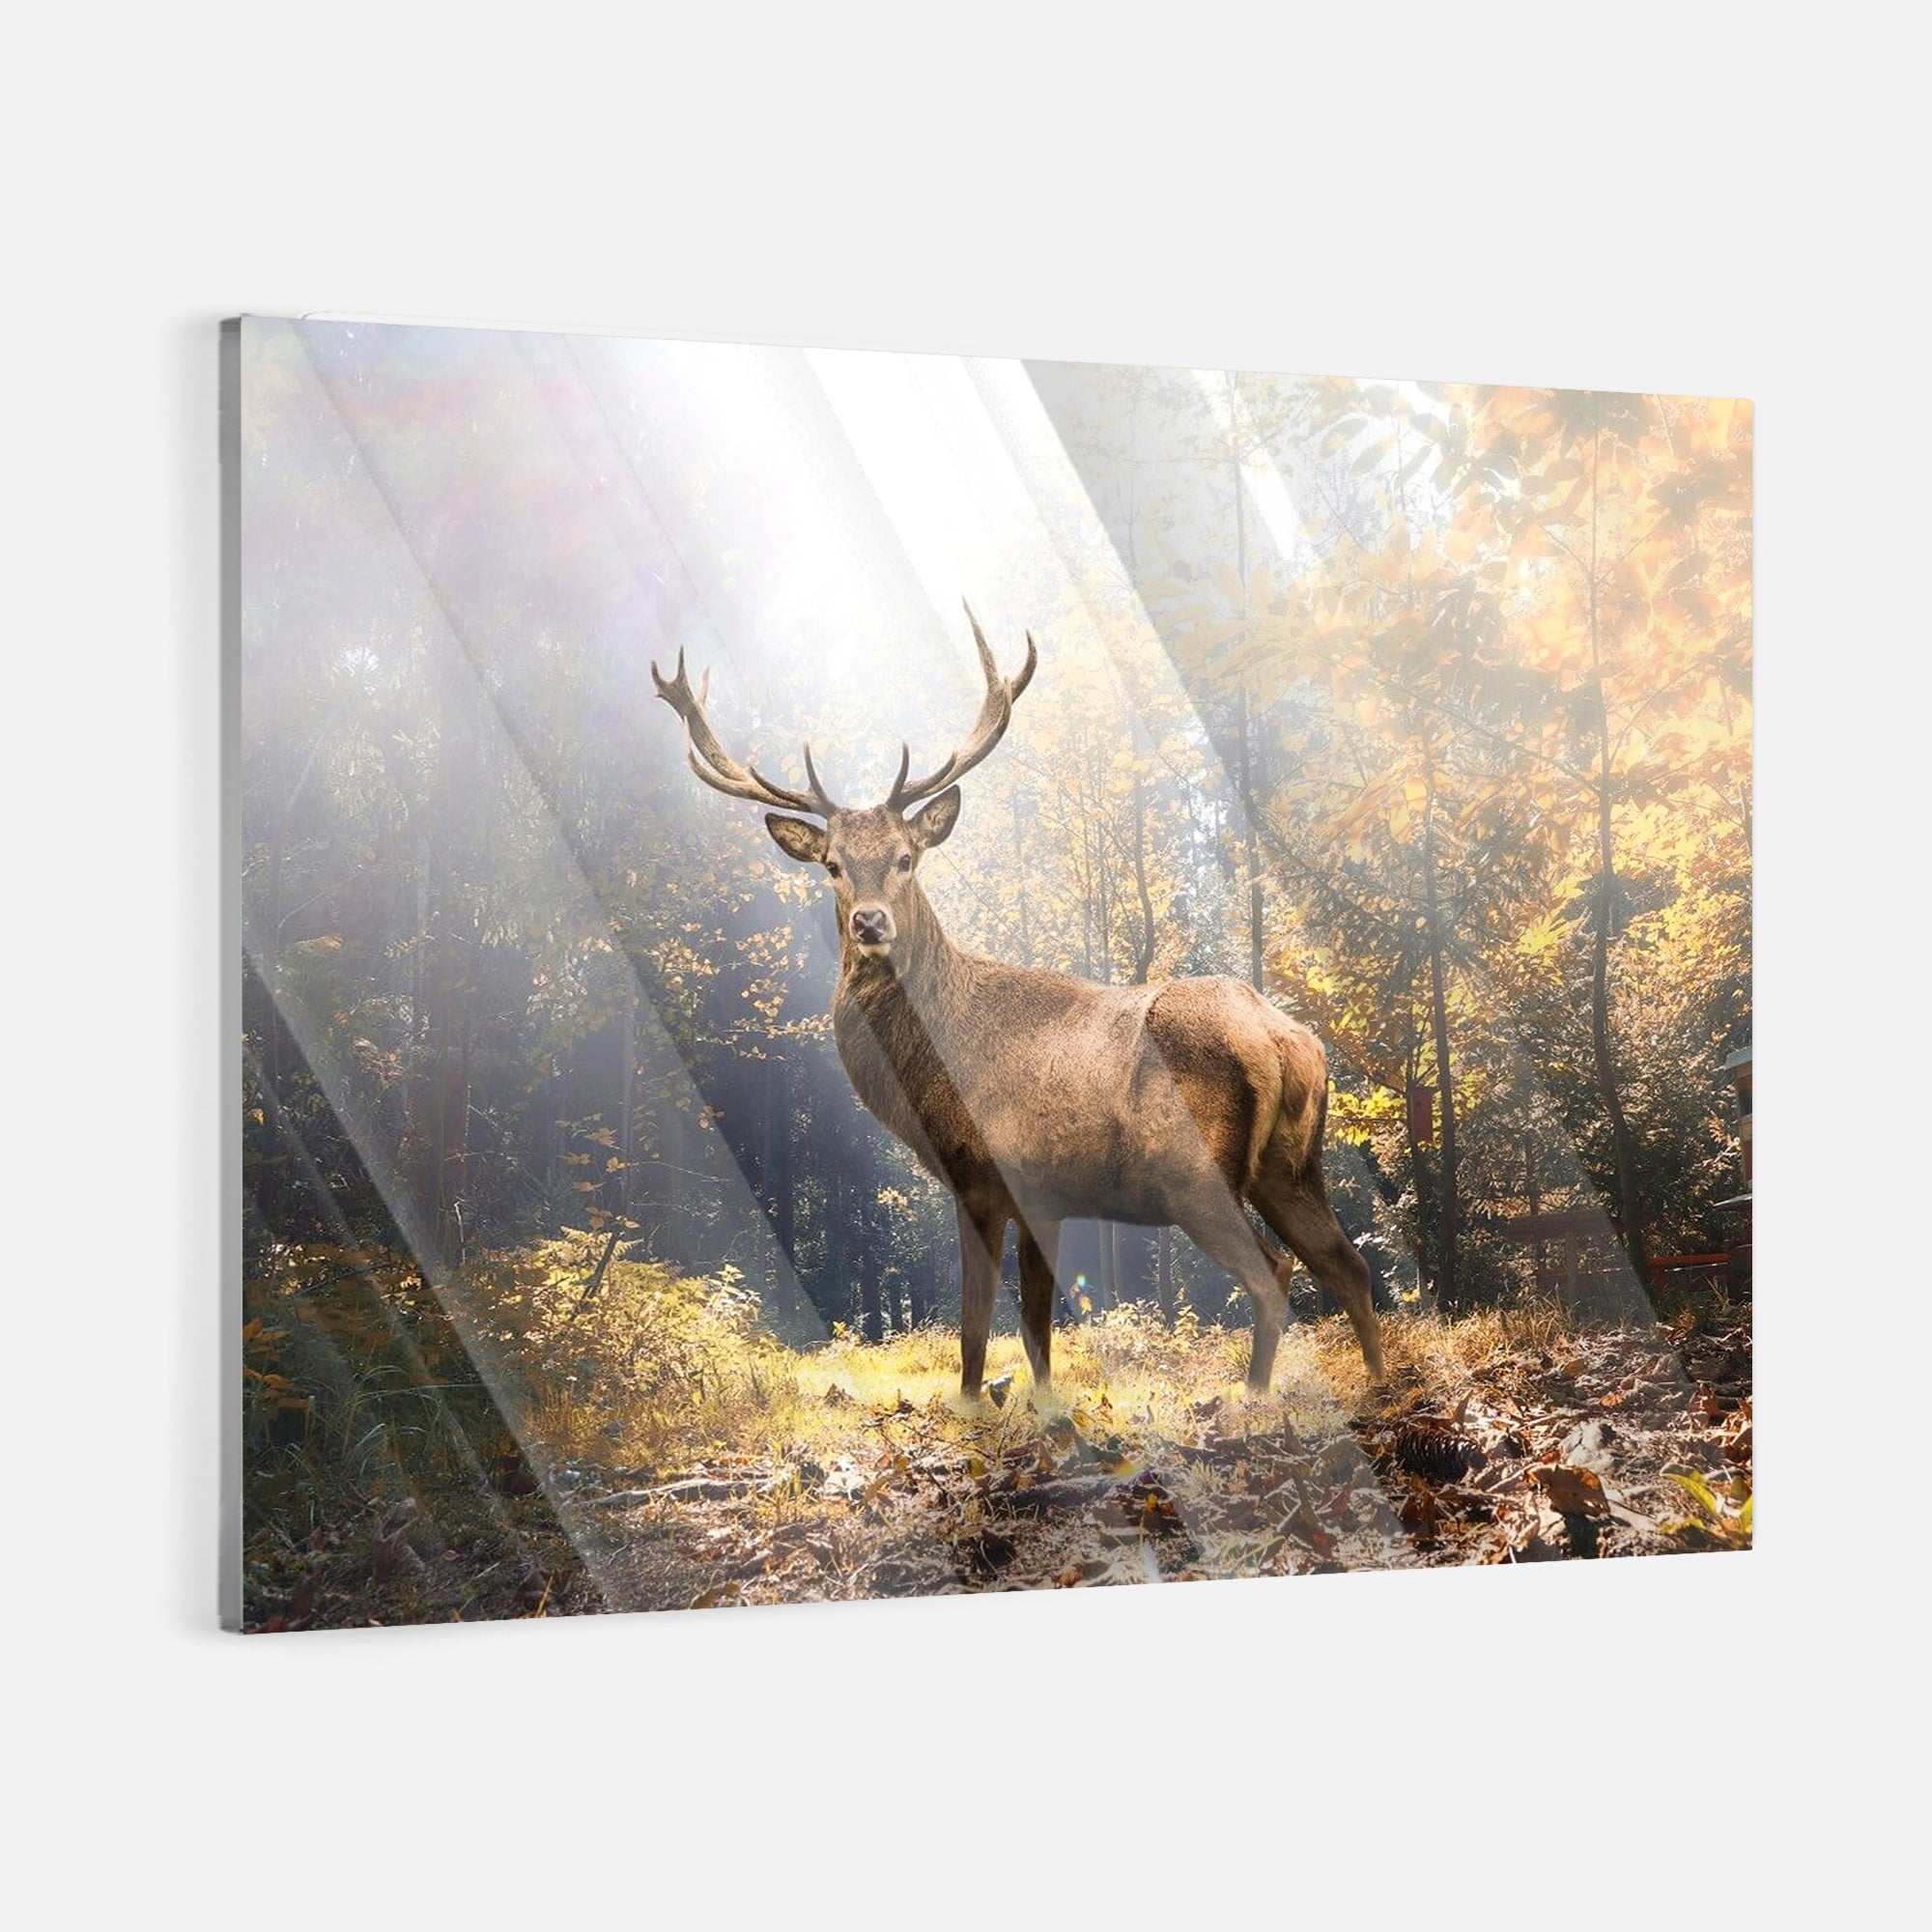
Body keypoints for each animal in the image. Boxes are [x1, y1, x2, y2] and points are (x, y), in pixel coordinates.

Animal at [652, 606, 1386, 1401]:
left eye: (907, 857)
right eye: (833, 865)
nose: (870, 923)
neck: (931, 1079)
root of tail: (1288, 1040)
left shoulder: (990, 1174)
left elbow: (978, 1327)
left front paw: (976, 1407)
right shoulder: (1047, 1196)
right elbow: (1035, 1327)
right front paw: (1043, 1408)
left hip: (1195, 1172)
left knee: (1274, 1272)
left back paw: (1252, 1398)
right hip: (1292, 1165)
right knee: (1350, 1264)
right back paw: (1381, 1386)